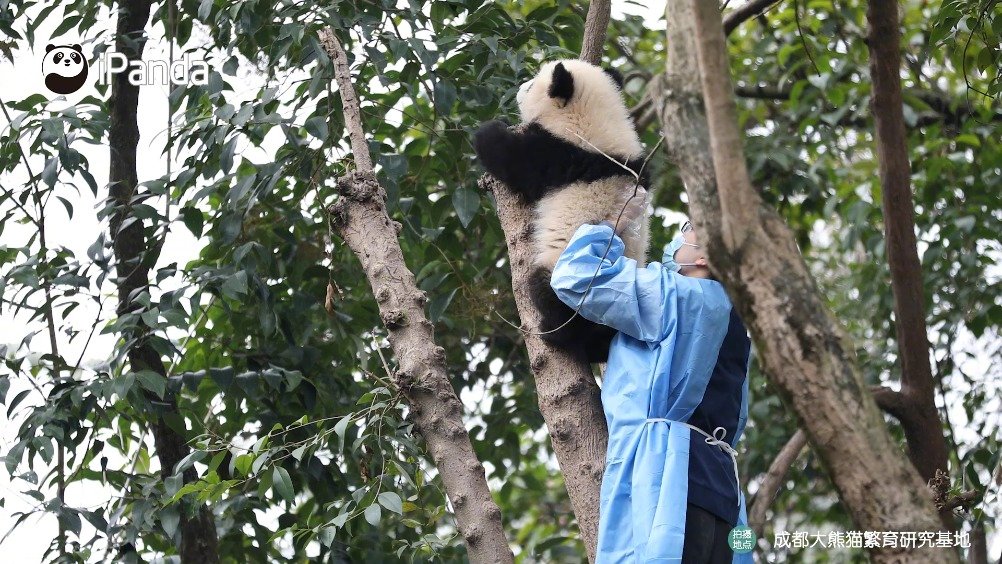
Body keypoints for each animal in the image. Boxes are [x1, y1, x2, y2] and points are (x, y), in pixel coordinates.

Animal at [474, 59, 649, 364]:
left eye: (533, 84)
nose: (519, 88)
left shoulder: (556, 157)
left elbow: (509, 159)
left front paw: (490, 129)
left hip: (572, 278)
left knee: (547, 294)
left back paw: (556, 333)